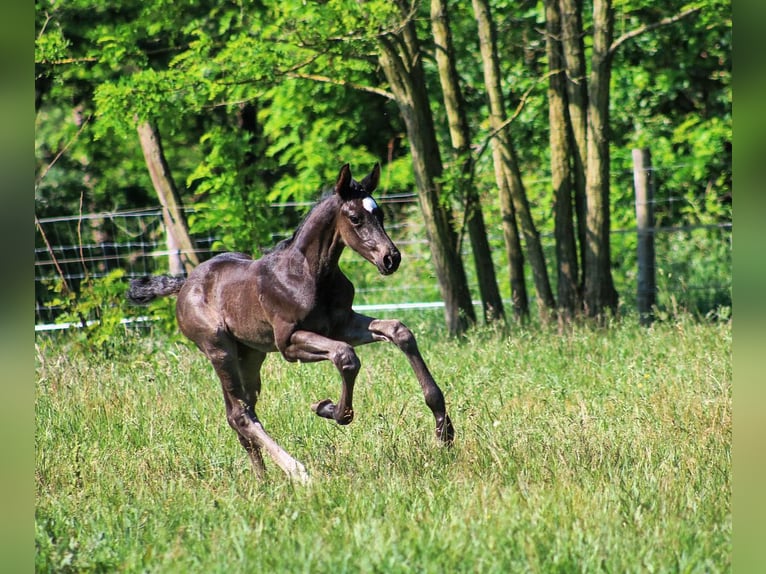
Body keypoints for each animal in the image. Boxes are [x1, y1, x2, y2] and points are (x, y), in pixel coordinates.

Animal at [129, 164, 456, 484]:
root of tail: (185, 284)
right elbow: (345, 356)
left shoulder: (343, 324)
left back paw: (263, 481)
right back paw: (298, 472)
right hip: (219, 350)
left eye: (381, 215)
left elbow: (399, 332)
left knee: (241, 411)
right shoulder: (289, 343)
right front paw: (329, 409)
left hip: (250, 355)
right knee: (240, 414)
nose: (391, 259)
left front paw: (444, 428)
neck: (311, 274)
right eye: (355, 218)